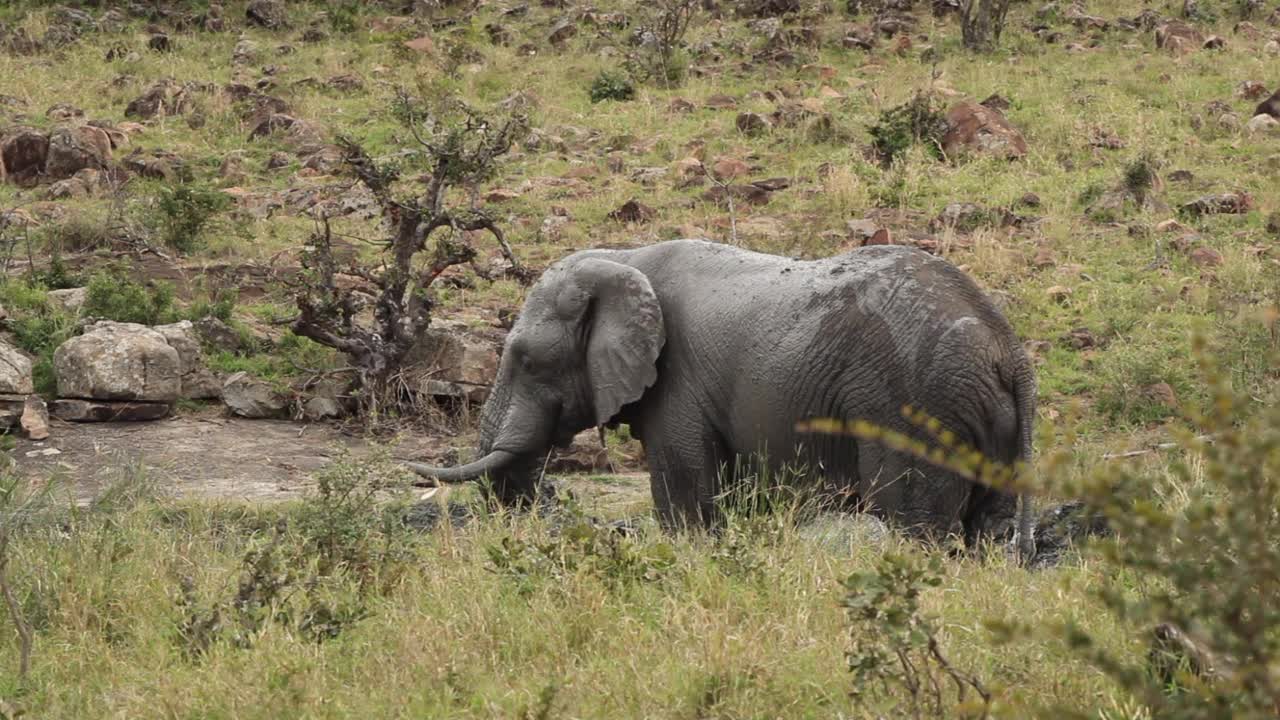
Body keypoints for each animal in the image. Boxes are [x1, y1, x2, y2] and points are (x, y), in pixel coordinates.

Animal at [409, 238, 1039, 558]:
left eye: (526, 359)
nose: (545, 495)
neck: (624, 260)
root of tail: (1009, 348)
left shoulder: (678, 383)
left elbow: (685, 495)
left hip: (913, 407)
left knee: (916, 527)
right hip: (977, 415)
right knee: (986, 527)